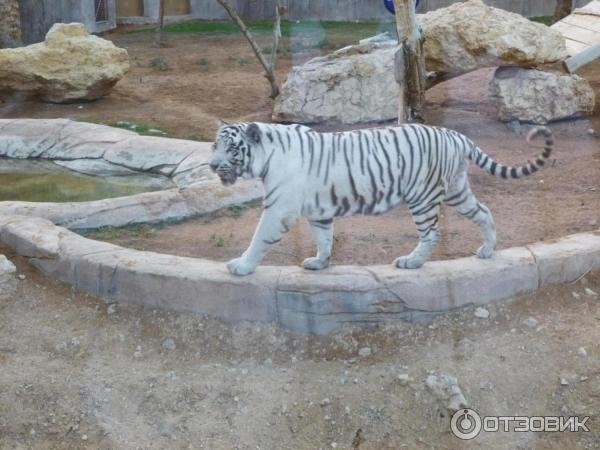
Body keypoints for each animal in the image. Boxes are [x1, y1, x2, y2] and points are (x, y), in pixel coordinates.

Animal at [210, 121, 552, 276]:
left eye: (230, 148)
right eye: (214, 146)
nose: (212, 165)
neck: (265, 157)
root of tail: (454, 134)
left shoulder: (278, 209)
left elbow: (258, 238)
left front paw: (241, 266)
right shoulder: (318, 210)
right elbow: (324, 237)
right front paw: (320, 262)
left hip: (423, 196)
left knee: (432, 233)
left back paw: (411, 261)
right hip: (457, 190)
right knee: (483, 211)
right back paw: (487, 250)